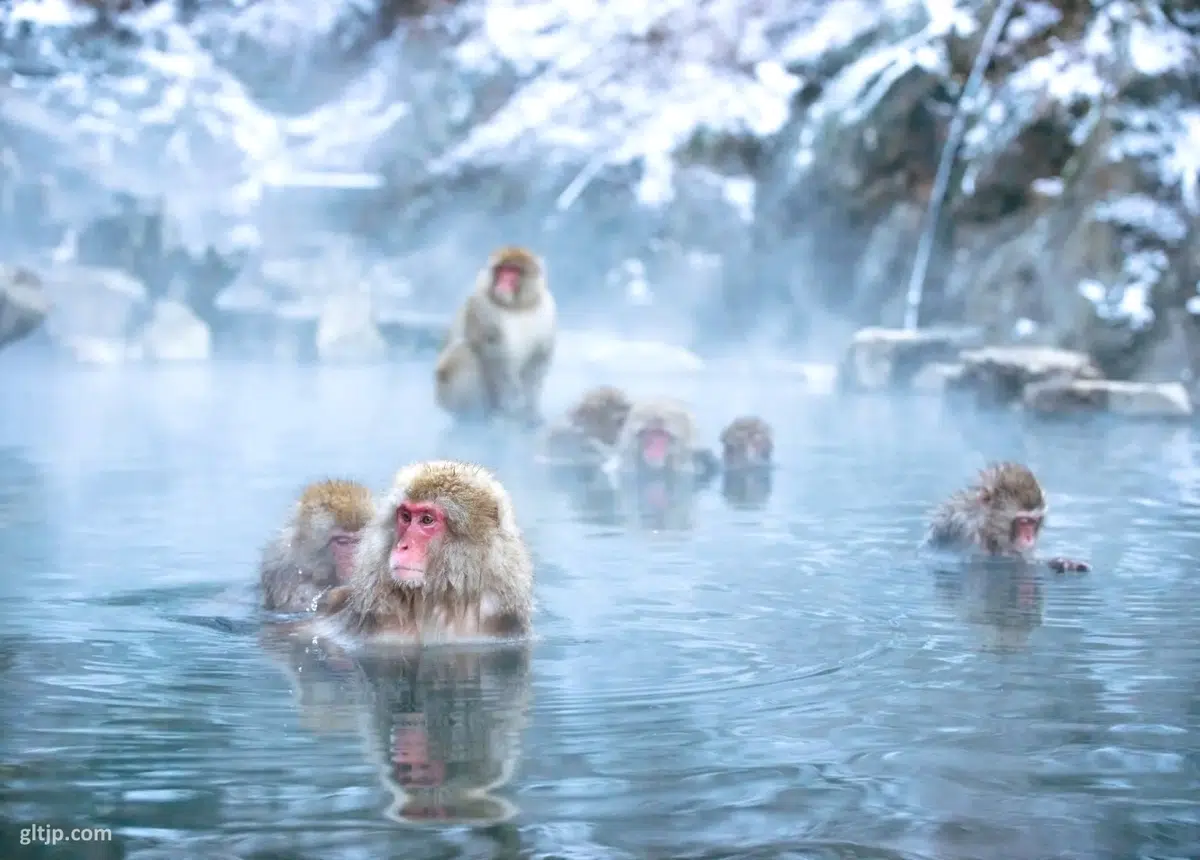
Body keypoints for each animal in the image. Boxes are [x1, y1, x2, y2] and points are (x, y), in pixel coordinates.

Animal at [434, 247, 556, 427]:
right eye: (501, 270)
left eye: (514, 271)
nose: (503, 282)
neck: (517, 307)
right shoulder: (482, 309)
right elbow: (493, 360)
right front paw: (508, 406)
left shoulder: (548, 312)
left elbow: (537, 362)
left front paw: (531, 412)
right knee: (463, 355)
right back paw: (477, 417)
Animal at [921, 462, 1090, 573]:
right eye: (1023, 521)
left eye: (1033, 522)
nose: (1029, 538)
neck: (984, 524)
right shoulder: (966, 531)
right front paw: (1059, 563)